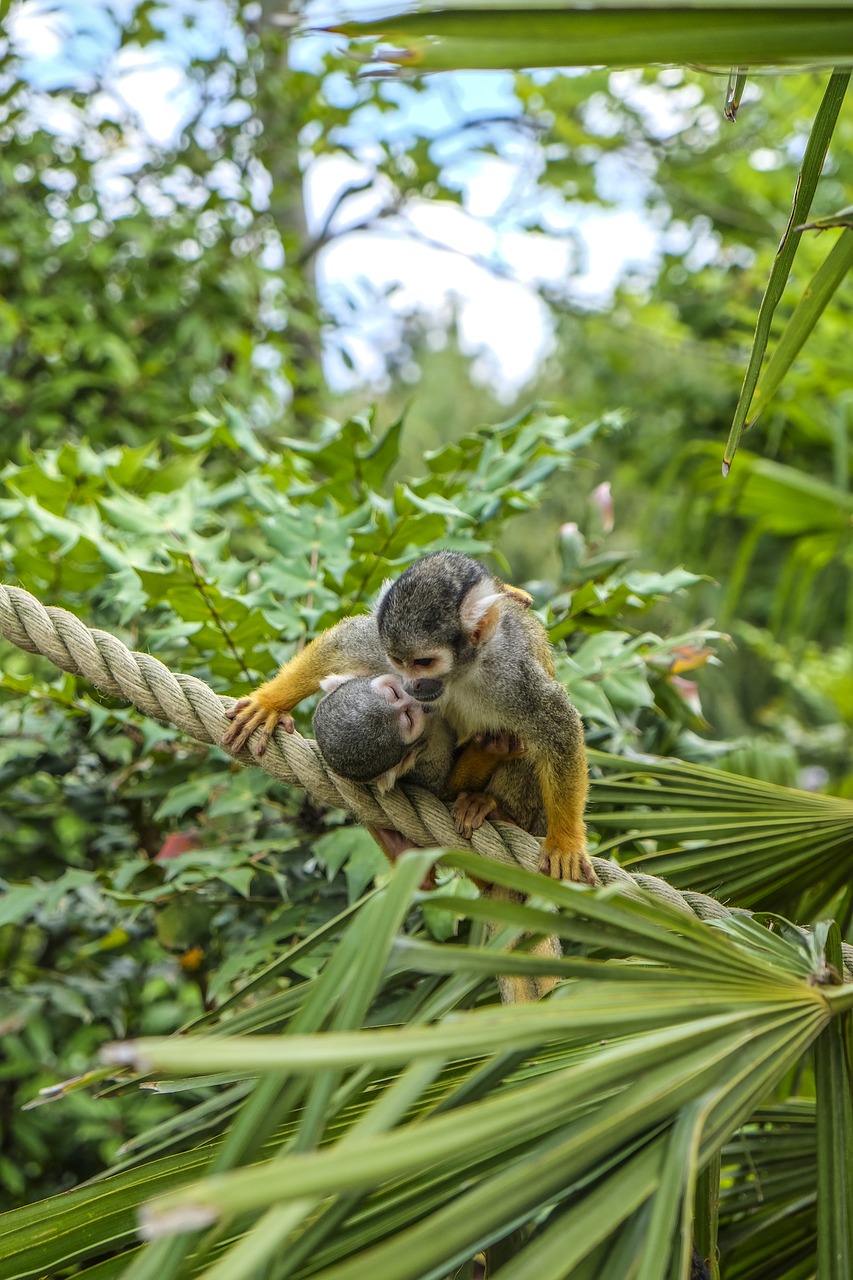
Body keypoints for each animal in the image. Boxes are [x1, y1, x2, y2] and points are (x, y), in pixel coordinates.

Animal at [376, 550, 589, 890]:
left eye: (424, 662)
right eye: (398, 661)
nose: (411, 686)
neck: (461, 674)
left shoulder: (511, 673)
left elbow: (559, 725)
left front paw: (565, 844)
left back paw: (498, 812)